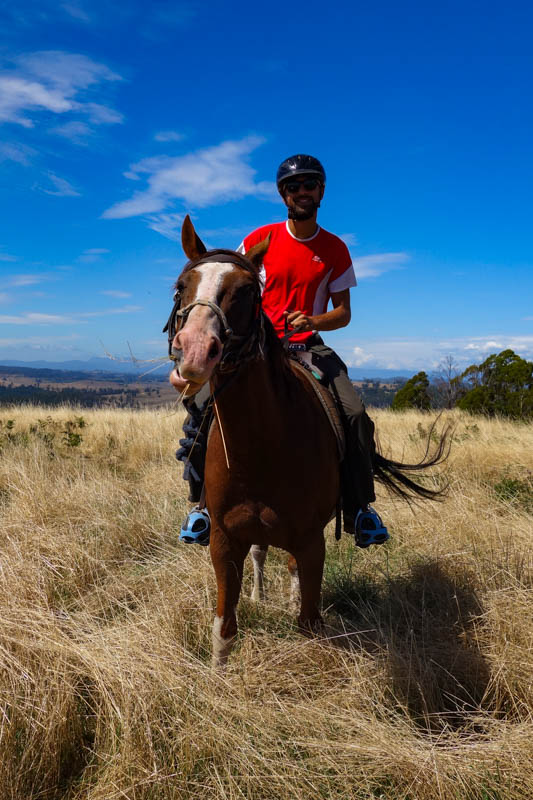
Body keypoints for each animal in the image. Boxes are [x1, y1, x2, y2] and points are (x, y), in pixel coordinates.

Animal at [168, 216, 442, 664]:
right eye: (180, 286)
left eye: (248, 290)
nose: (193, 352)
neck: (260, 446)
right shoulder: (224, 542)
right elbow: (224, 629)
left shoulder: (312, 542)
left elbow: (310, 623)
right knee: (262, 554)